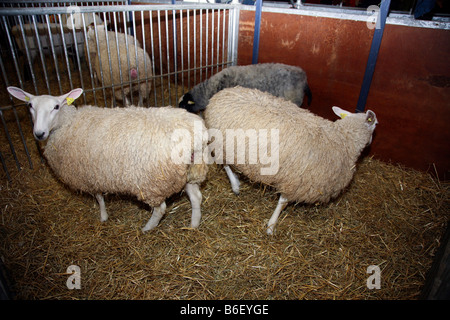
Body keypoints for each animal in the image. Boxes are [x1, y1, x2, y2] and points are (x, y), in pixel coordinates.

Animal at [7, 86, 207, 231]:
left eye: (56, 107)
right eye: (30, 106)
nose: (39, 133)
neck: (67, 123)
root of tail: (194, 136)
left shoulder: (89, 174)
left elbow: (99, 198)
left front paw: (103, 217)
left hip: (153, 182)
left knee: (160, 209)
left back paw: (146, 229)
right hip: (189, 173)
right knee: (196, 197)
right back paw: (193, 225)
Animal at [206, 86, 378, 234]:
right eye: (375, 124)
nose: (371, 142)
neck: (343, 139)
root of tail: (221, 93)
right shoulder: (295, 179)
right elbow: (282, 203)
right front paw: (271, 226)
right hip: (221, 143)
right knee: (223, 163)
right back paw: (235, 185)